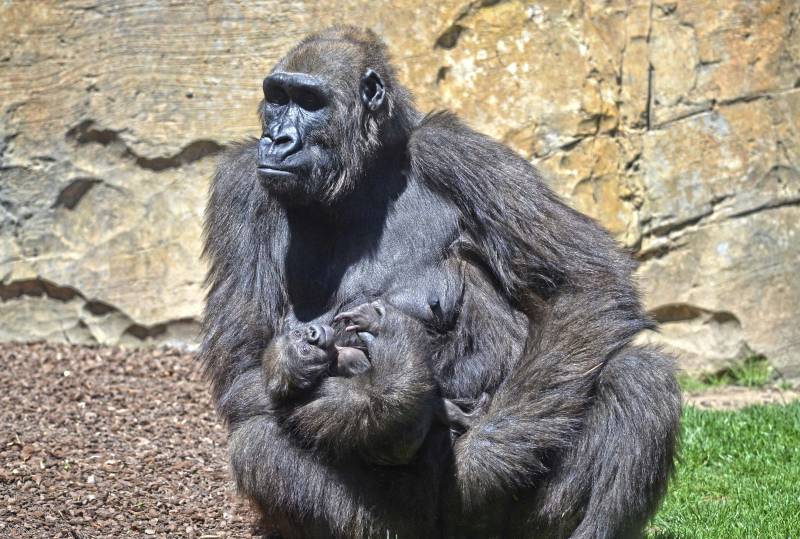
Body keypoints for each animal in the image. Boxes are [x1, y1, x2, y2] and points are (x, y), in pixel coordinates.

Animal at [202, 26, 680, 539]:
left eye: (310, 102)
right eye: (277, 97)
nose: (278, 139)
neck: (362, 176)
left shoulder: (459, 153)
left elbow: (586, 282)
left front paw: (484, 455)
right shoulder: (240, 188)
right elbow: (244, 371)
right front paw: (376, 395)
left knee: (638, 377)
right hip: (400, 525)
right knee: (259, 440)